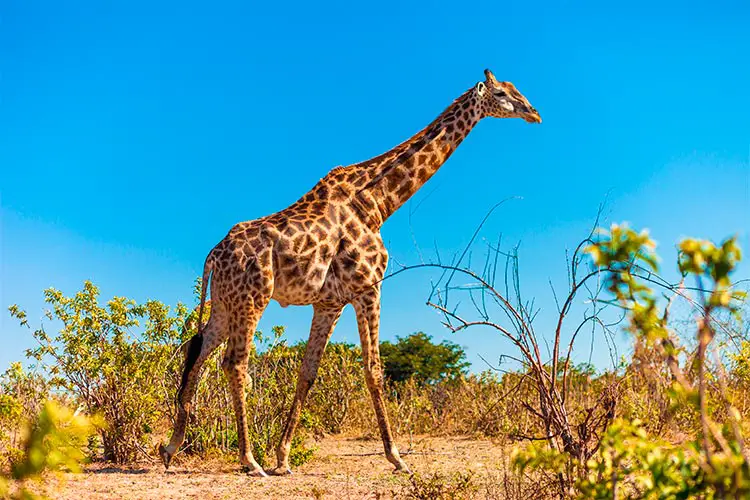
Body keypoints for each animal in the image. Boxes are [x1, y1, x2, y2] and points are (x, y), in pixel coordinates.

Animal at [162, 67, 544, 476]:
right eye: (503, 93)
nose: (535, 113)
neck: (377, 203)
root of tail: (214, 255)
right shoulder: (368, 287)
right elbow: (374, 370)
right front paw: (396, 458)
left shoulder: (329, 302)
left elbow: (308, 372)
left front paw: (283, 457)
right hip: (253, 297)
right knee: (234, 363)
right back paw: (249, 460)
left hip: (224, 302)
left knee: (197, 351)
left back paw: (172, 447)